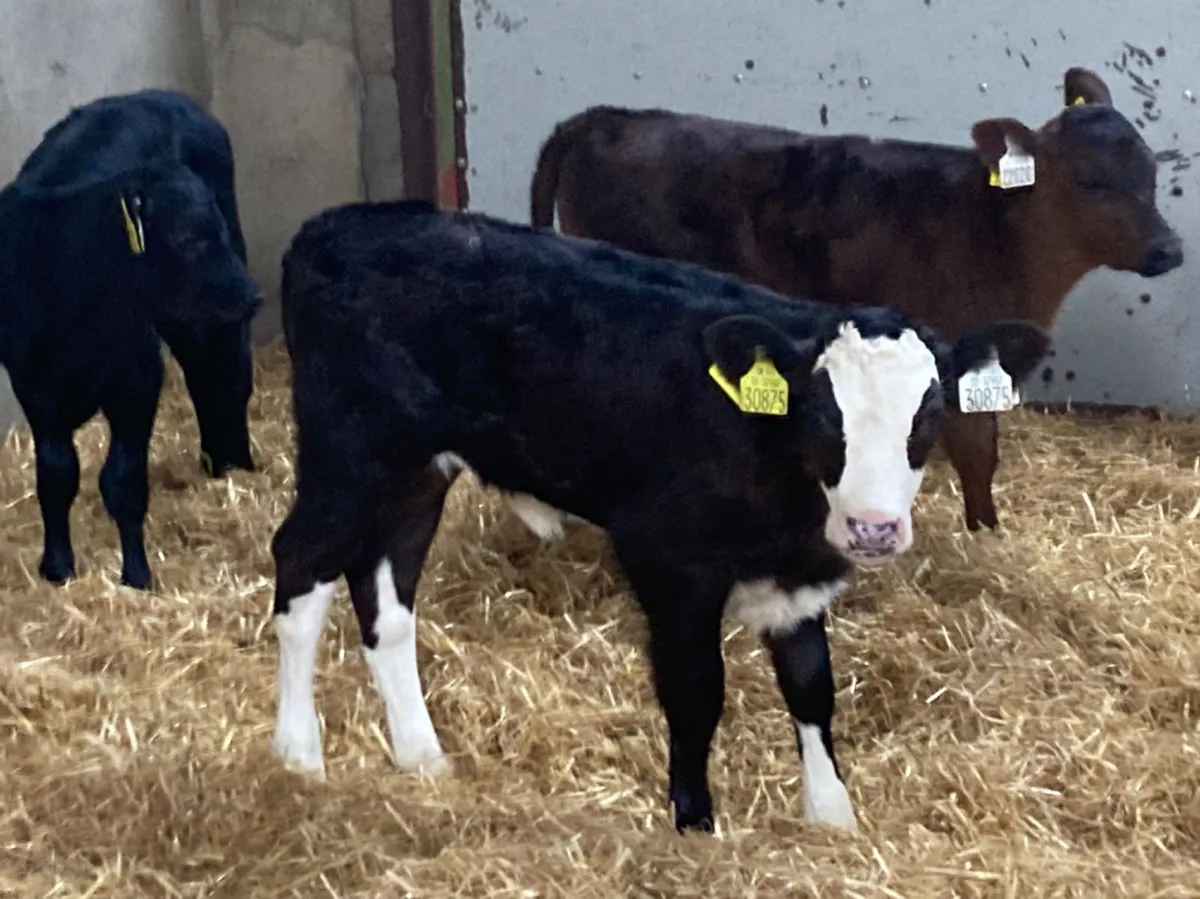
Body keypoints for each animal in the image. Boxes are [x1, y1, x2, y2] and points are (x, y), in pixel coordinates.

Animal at [0, 160, 259, 589]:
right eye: (187, 238)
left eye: (216, 228)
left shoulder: (138, 380)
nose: (252, 295)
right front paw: (57, 566)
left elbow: (123, 480)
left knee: (220, 374)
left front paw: (136, 573)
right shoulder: (35, 389)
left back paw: (231, 462)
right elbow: (56, 475)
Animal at [268, 199, 1050, 834]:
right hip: (347, 455)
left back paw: (421, 755)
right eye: (825, 413)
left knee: (386, 598)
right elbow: (696, 690)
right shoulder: (669, 561)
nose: (875, 528)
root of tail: (340, 222)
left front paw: (832, 815)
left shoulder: (798, 580)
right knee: (301, 566)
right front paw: (695, 821)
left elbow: (811, 688)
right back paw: (298, 753)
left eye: (930, 413)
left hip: (414, 473)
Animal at [527, 66, 1184, 533]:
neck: (1000, 234)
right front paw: (984, 533)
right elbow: (974, 452)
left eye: (1153, 171)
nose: (1170, 249)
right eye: (1091, 182)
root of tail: (609, 117)